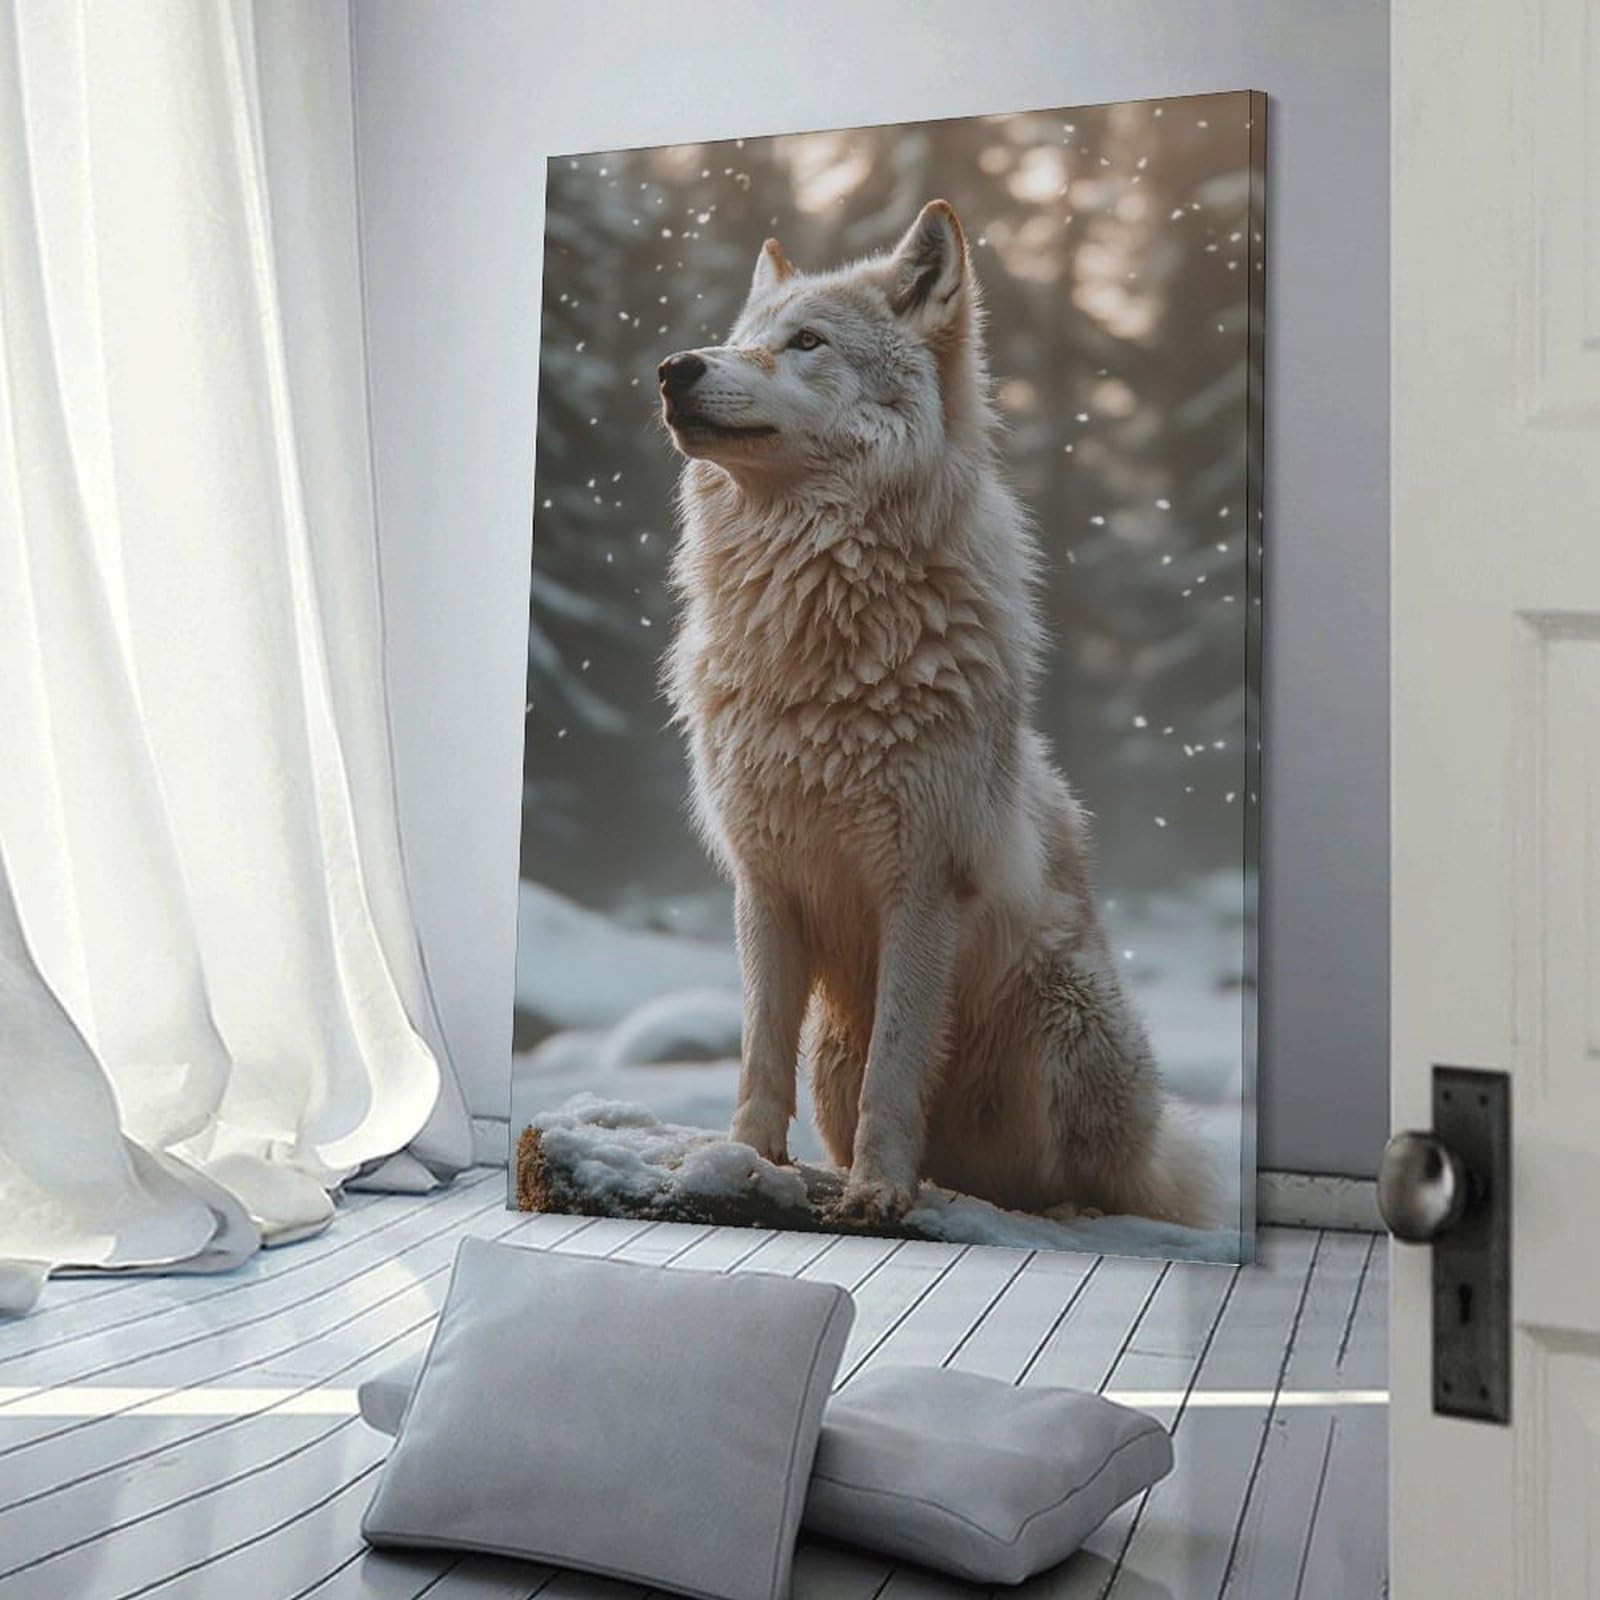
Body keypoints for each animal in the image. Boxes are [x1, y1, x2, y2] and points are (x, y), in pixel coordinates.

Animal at [658, 200, 1216, 1229]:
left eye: (806, 343)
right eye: (742, 337)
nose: (677, 367)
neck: (820, 640)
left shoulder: (921, 883)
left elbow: (898, 1065)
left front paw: (879, 1193)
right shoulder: (763, 882)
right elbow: (757, 1055)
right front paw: (740, 1165)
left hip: (1067, 1022)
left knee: (1076, 1186)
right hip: (834, 1057)